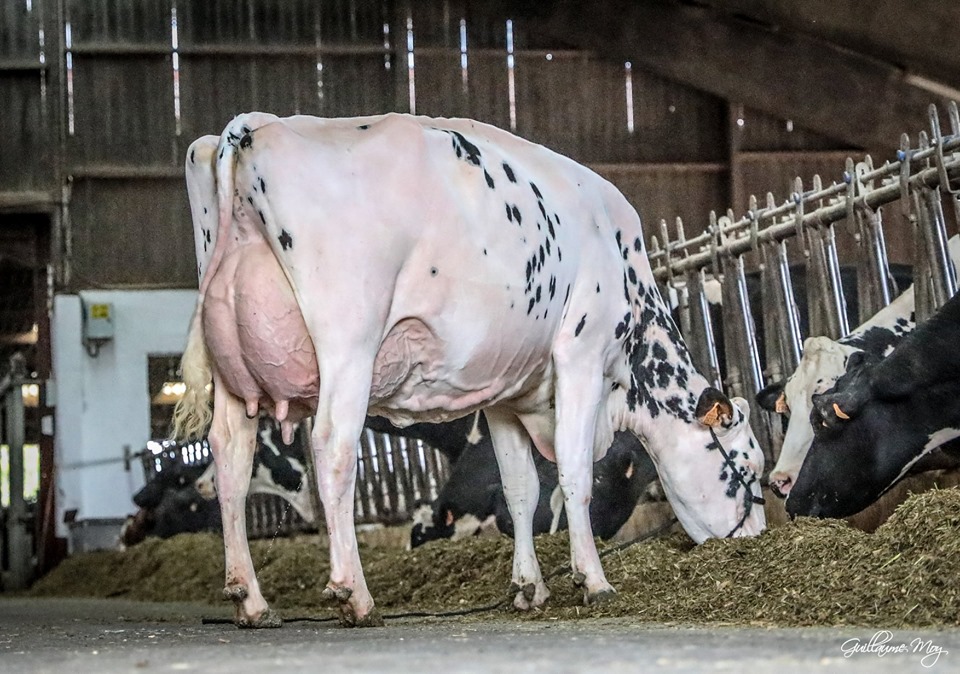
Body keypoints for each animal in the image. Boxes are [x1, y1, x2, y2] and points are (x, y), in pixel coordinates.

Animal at [174, 112, 765, 628]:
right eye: (747, 467)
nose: (756, 538)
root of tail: (252, 126)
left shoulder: (506, 391)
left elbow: (520, 489)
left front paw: (530, 588)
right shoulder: (581, 354)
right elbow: (574, 473)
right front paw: (593, 581)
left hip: (233, 370)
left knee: (231, 458)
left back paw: (250, 600)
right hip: (348, 341)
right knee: (332, 448)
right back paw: (355, 596)